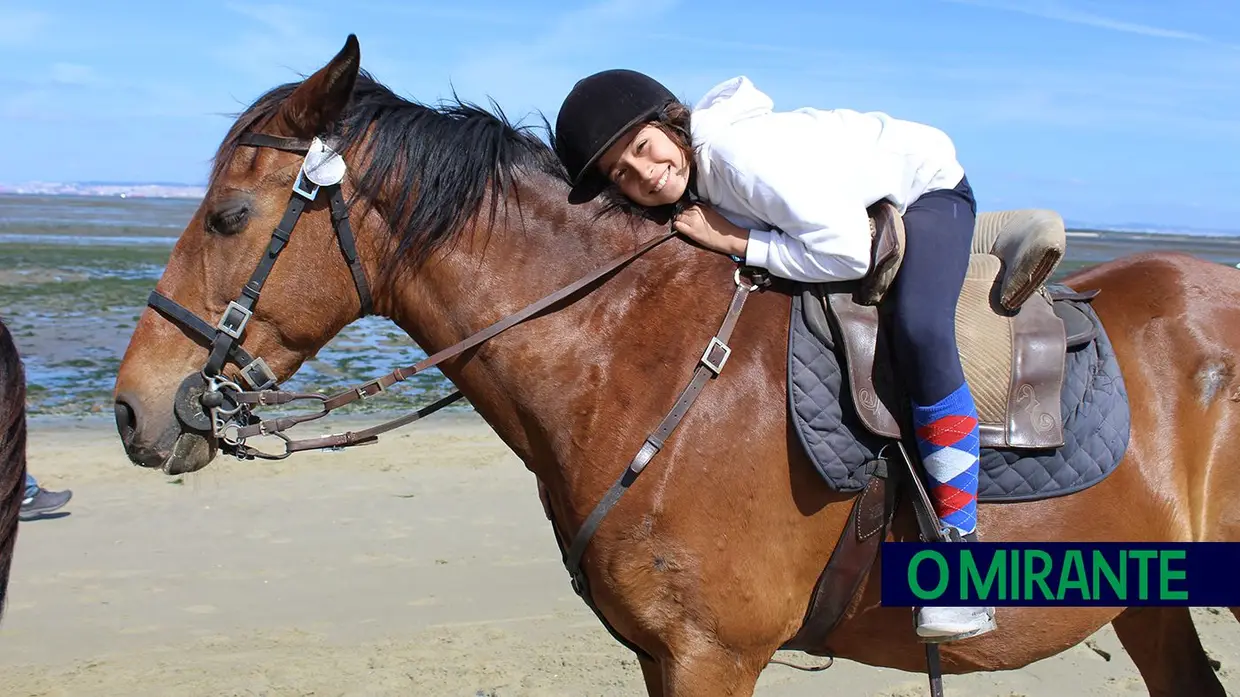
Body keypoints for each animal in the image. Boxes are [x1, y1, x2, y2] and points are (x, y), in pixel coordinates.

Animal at [111, 37, 1235, 694]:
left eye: (228, 215)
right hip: (1151, 604)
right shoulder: (662, 656)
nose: (130, 410)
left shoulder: (712, 656)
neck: (634, 359)